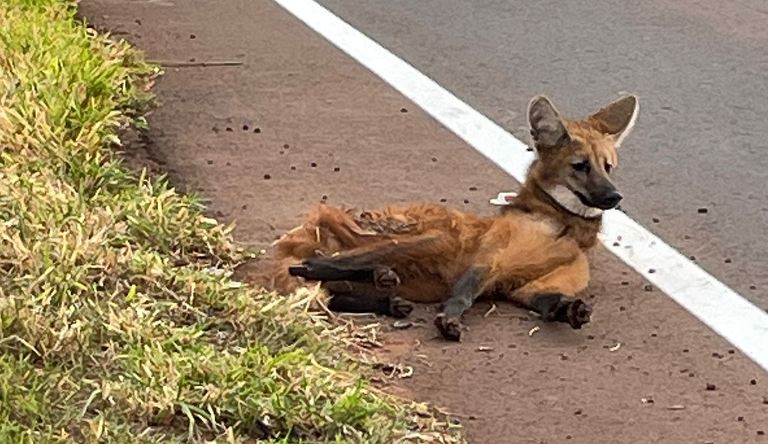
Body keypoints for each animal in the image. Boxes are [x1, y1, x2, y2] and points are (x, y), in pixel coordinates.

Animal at [268, 94, 640, 340]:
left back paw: (389, 297)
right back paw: (375, 275)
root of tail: (309, 227)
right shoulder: (487, 259)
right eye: (580, 166)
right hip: (434, 237)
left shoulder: (526, 287)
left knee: (331, 289)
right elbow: (463, 293)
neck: (565, 227)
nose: (615, 197)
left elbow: (552, 301)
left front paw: (571, 310)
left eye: (608, 167)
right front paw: (449, 320)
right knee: (319, 263)